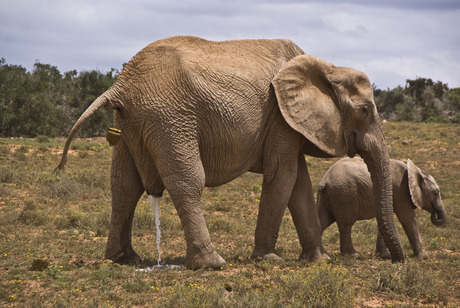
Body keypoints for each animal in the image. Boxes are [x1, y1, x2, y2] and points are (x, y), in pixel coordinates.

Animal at [55, 35, 404, 268]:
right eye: (364, 110)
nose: (396, 261)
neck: (327, 67)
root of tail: (120, 85)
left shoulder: (287, 122)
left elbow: (299, 183)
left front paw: (318, 260)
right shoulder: (279, 116)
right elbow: (283, 175)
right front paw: (270, 259)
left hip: (131, 121)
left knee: (124, 185)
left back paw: (124, 259)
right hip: (170, 117)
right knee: (186, 181)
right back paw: (213, 264)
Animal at [316, 158, 446, 258]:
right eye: (436, 193)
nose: (434, 213)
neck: (415, 171)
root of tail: (324, 181)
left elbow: (384, 220)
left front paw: (384, 256)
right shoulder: (400, 191)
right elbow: (407, 218)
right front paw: (423, 257)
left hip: (330, 196)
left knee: (322, 221)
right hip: (345, 194)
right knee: (346, 224)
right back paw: (353, 256)